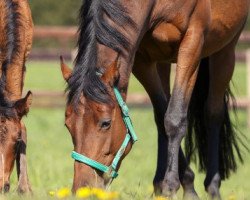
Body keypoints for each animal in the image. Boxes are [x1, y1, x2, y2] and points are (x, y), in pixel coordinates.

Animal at [60, 0, 248, 198]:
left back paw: (213, 187)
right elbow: (163, 116)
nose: (82, 189)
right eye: (68, 125)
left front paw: (171, 187)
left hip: (225, 51)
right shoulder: (141, 58)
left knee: (213, 113)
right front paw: (183, 184)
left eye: (105, 123)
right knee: (161, 114)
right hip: (163, 60)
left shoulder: (192, 42)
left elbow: (174, 118)